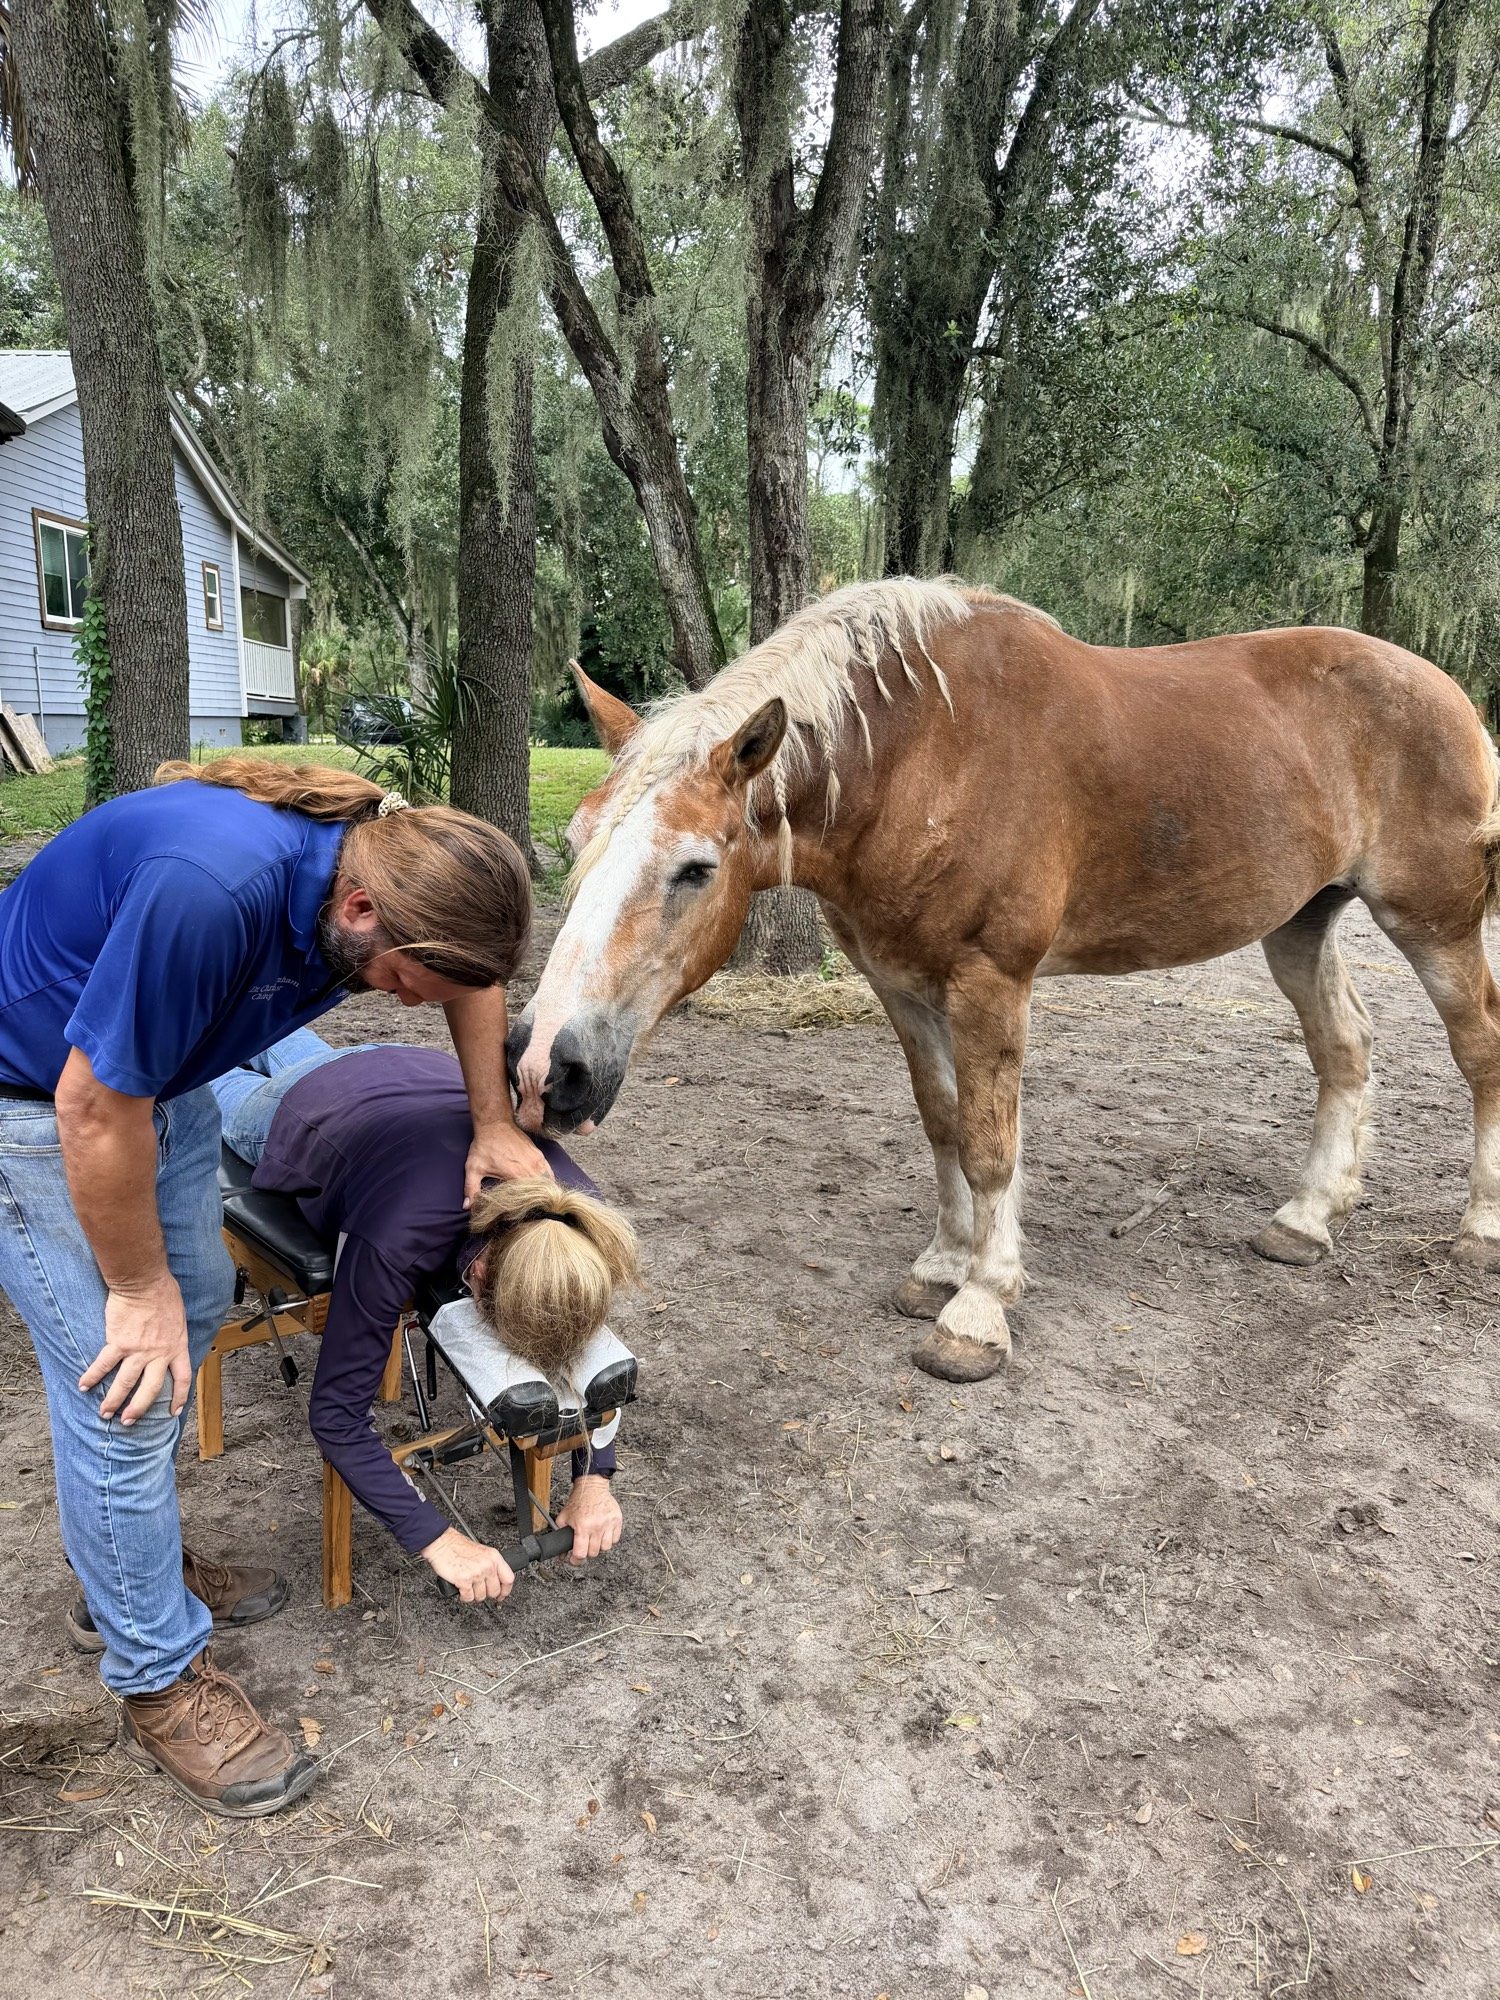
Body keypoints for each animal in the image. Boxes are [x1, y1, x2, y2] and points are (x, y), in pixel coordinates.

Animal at [508, 578, 1500, 1384]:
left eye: (695, 869)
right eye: (578, 839)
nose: (544, 1066)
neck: (924, 754)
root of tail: (1447, 691)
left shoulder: (991, 981)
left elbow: (991, 1144)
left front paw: (979, 1310)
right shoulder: (904, 986)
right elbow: (944, 1124)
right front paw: (942, 1267)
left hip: (1434, 922)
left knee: (1478, 1049)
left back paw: (1480, 1227)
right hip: (1302, 923)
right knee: (1345, 1048)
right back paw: (1306, 1219)